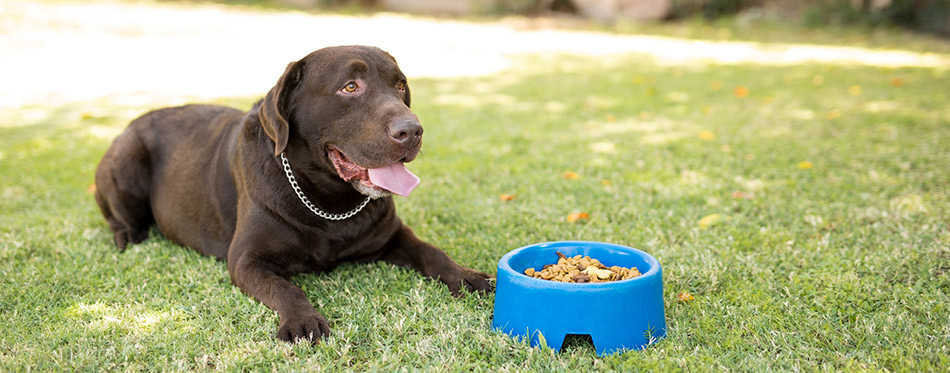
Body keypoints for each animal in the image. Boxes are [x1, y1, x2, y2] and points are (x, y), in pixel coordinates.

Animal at [94, 45, 494, 342]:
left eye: (400, 86)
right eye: (351, 87)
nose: (412, 130)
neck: (329, 201)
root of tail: (132, 121)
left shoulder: (393, 235)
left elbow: (432, 251)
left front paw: (466, 276)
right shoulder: (246, 260)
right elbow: (286, 289)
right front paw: (302, 320)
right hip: (126, 160)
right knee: (116, 215)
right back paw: (128, 235)